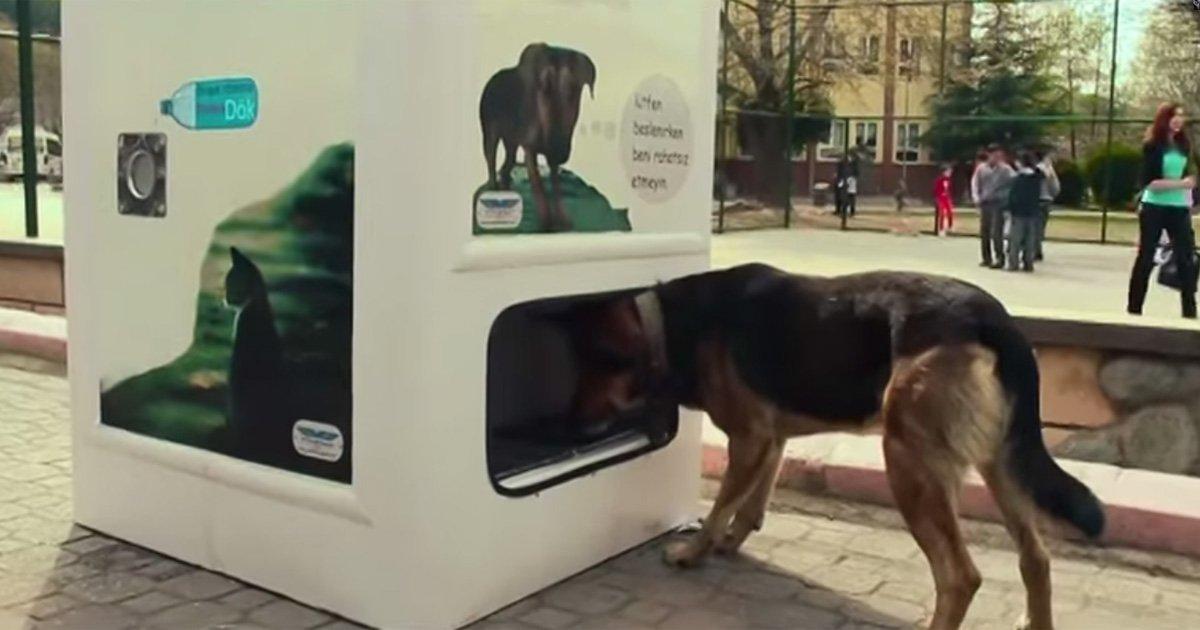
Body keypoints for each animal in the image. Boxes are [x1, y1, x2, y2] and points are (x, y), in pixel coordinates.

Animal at [561, 262, 1104, 628]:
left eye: (587, 371)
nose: (570, 430)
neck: (668, 326)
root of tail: (995, 320)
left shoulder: (749, 437)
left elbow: (719, 505)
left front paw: (694, 551)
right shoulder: (771, 439)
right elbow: (750, 504)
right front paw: (730, 542)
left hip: (909, 463)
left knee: (959, 576)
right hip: (1001, 462)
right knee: (1035, 558)